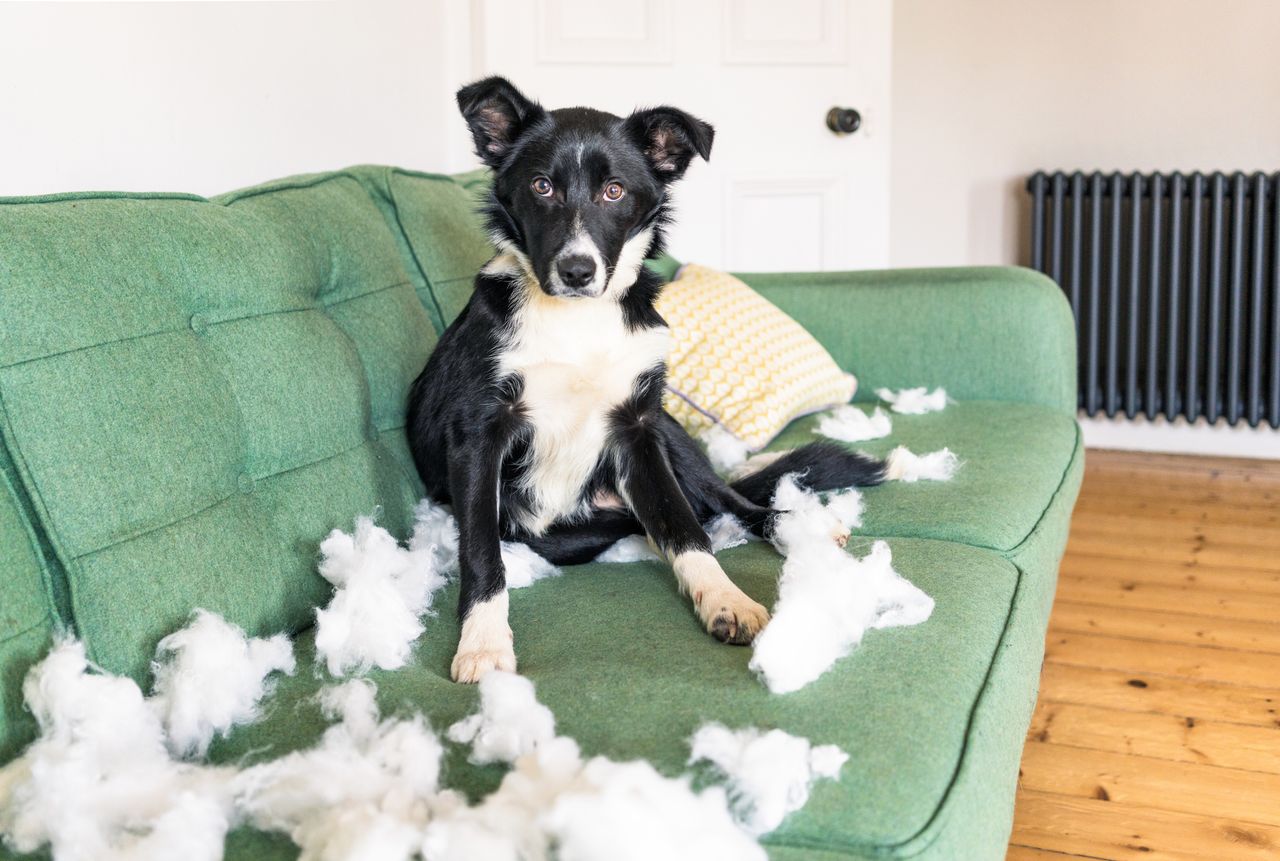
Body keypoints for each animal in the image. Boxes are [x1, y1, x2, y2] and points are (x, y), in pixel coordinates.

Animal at [404, 77, 885, 680]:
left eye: (614, 191)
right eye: (541, 186)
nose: (577, 272)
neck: (578, 321)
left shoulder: (637, 428)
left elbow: (683, 528)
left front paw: (724, 600)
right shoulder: (477, 437)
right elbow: (481, 551)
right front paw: (483, 642)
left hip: (670, 431)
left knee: (727, 503)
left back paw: (799, 528)